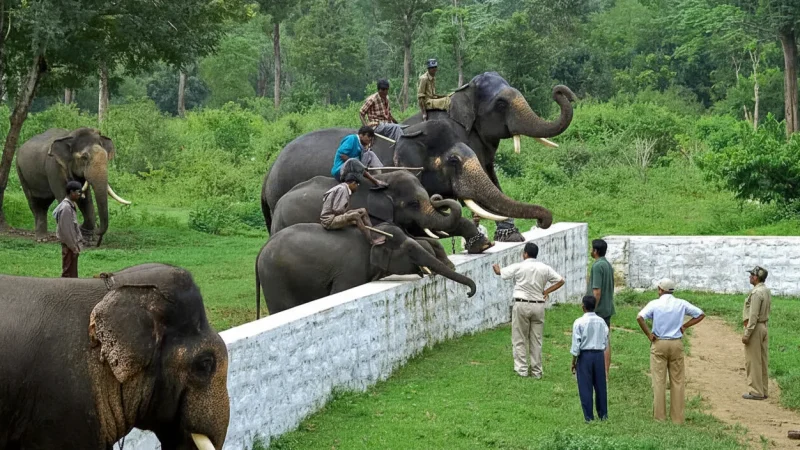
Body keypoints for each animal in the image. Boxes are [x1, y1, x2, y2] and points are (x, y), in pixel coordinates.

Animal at [255, 223, 476, 316]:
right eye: (410, 250)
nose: (468, 293)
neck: (373, 233)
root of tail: (260, 252)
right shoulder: (350, 270)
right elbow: (339, 291)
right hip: (275, 278)